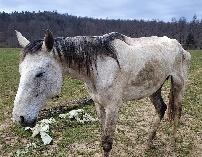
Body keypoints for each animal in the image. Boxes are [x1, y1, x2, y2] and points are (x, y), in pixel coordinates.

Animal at [13, 30, 191, 156]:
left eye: (40, 73)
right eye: (20, 71)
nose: (19, 118)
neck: (100, 66)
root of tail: (180, 47)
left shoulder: (113, 107)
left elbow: (107, 143)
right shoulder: (99, 104)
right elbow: (102, 136)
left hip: (178, 84)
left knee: (177, 112)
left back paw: (171, 145)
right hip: (154, 87)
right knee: (161, 109)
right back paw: (147, 144)